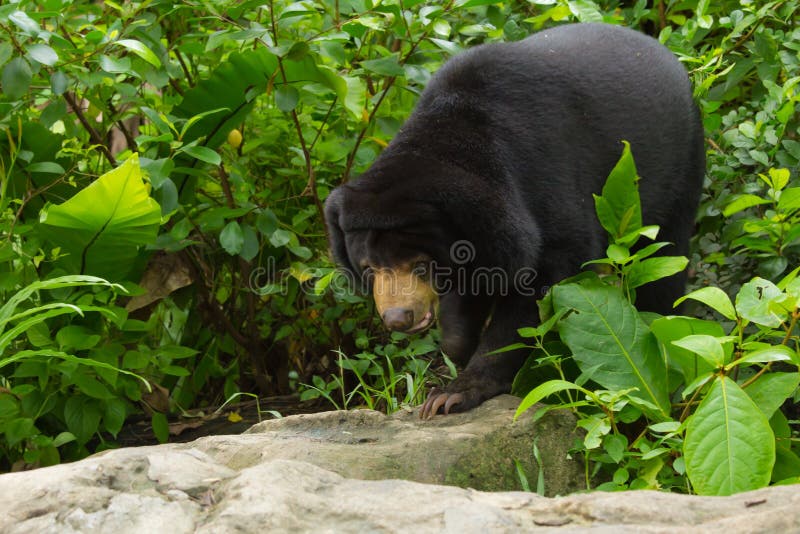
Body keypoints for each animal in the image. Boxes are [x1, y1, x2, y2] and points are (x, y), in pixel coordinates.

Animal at [324, 23, 705, 419]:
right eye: (368, 268)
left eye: (419, 265)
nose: (399, 318)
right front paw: (455, 348)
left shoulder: (541, 183)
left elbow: (537, 288)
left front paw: (452, 394)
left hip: (677, 168)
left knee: (663, 264)